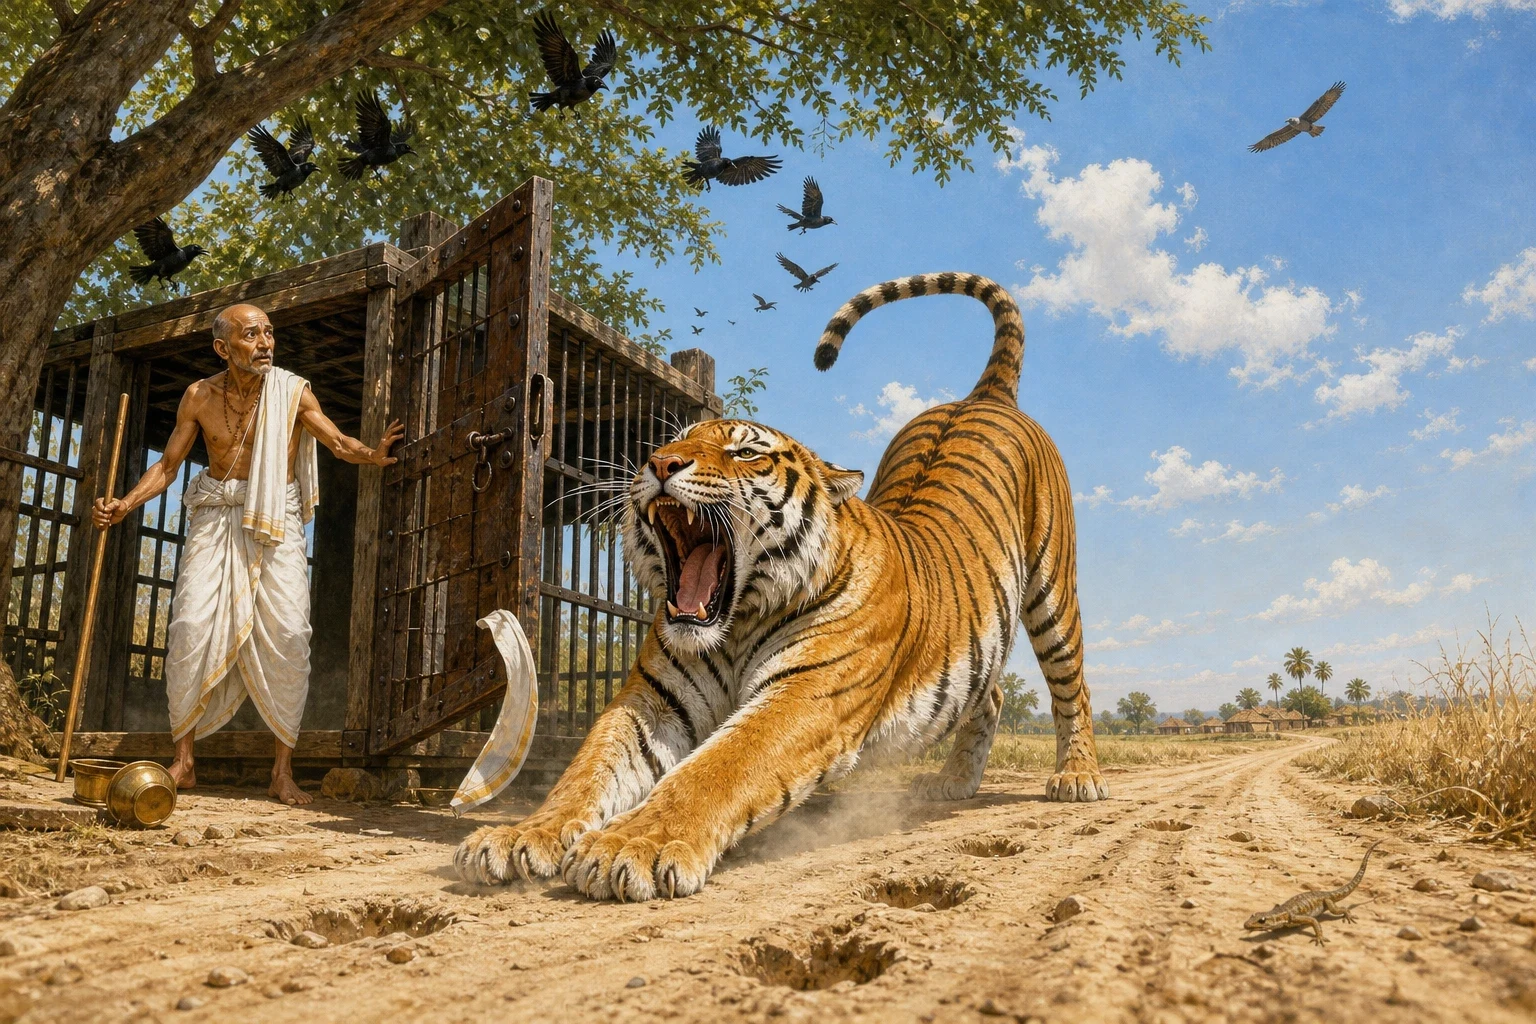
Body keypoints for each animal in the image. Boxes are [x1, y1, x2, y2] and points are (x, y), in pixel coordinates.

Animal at [455, 271, 1107, 901]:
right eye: (670, 442)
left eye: (745, 451)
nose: (659, 463)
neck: (737, 619)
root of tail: (982, 396)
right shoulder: (655, 698)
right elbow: (588, 769)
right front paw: (519, 836)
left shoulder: (805, 696)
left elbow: (716, 769)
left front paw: (630, 845)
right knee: (989, 694)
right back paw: (952, 782)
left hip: (1054, 592)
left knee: (1071, 686)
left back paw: (1077, 778)